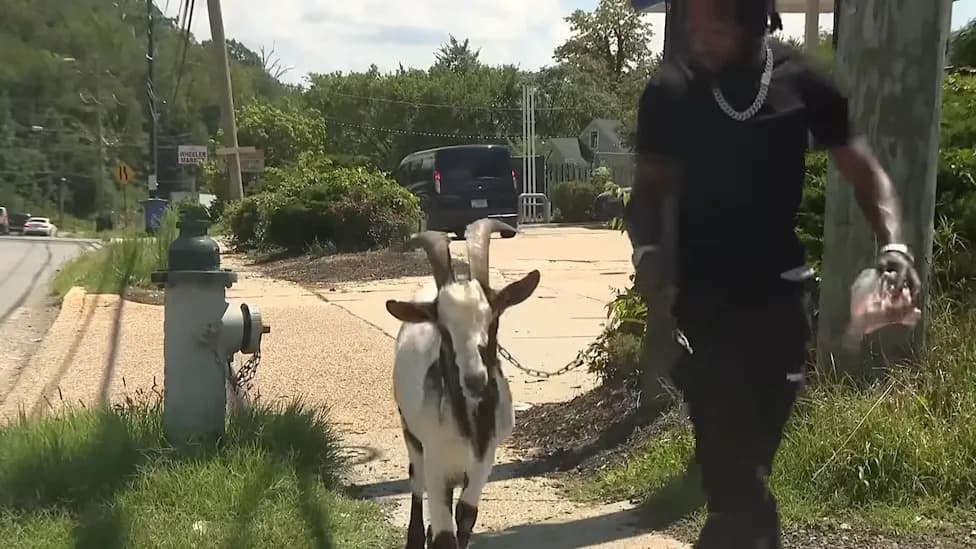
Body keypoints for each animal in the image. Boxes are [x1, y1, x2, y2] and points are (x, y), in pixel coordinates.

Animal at [385, 218, 541, 549]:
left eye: (493, 320)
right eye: (443, 329)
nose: (474, 378)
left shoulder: (484, 461)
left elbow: (465, 516)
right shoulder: (435, 459)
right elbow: (444, 535)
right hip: (411, 434)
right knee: (415, 482)